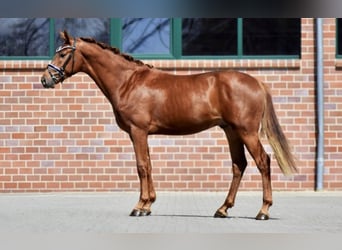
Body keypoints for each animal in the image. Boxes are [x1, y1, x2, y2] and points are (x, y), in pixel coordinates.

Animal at [41, 30, 296, 219]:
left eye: (63, 54)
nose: (45, 79)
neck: (128, 82)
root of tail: (257, 82)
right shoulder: (142, 133)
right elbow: (149, 165)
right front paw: (148, 205)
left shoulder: (137, 131)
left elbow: (142, 167)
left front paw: (139, 206)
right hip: (231, 131)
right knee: (238, 165)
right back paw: (223, 209)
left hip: (246, 132)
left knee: (263, 162)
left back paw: (263, 211)